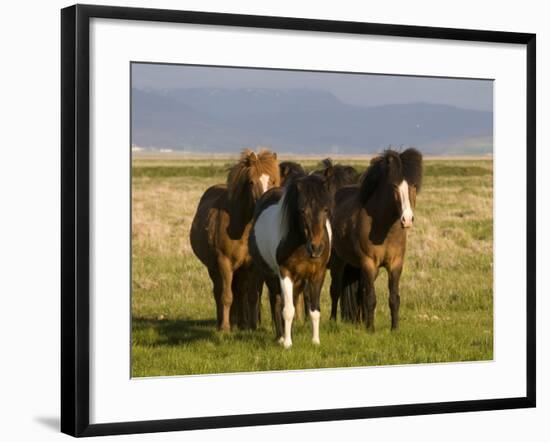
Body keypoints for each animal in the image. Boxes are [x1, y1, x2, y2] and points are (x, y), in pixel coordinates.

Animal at [192, 149, 282, 332]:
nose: (264, 203)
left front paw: (252, 326)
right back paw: (224, 322)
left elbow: (252, 296)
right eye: (251, 182)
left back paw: (240, 323)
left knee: (240, 292)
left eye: (273, 180)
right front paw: (225, 328)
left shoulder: (252, 266)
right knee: (219, 291)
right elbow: (226, 296)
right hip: (214, 268)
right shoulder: (224, 262)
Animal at [250, 174, 332, 348]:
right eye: (302, 211)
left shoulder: (318, 274)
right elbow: (287, 310)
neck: (302, 245)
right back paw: (281, 337)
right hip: (270, 275)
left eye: (325, 209)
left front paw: (315, 341)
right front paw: (287, 343)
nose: (316, 248)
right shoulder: (285, 273)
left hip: (299, 280)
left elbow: (314, 310)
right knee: (277, 301)